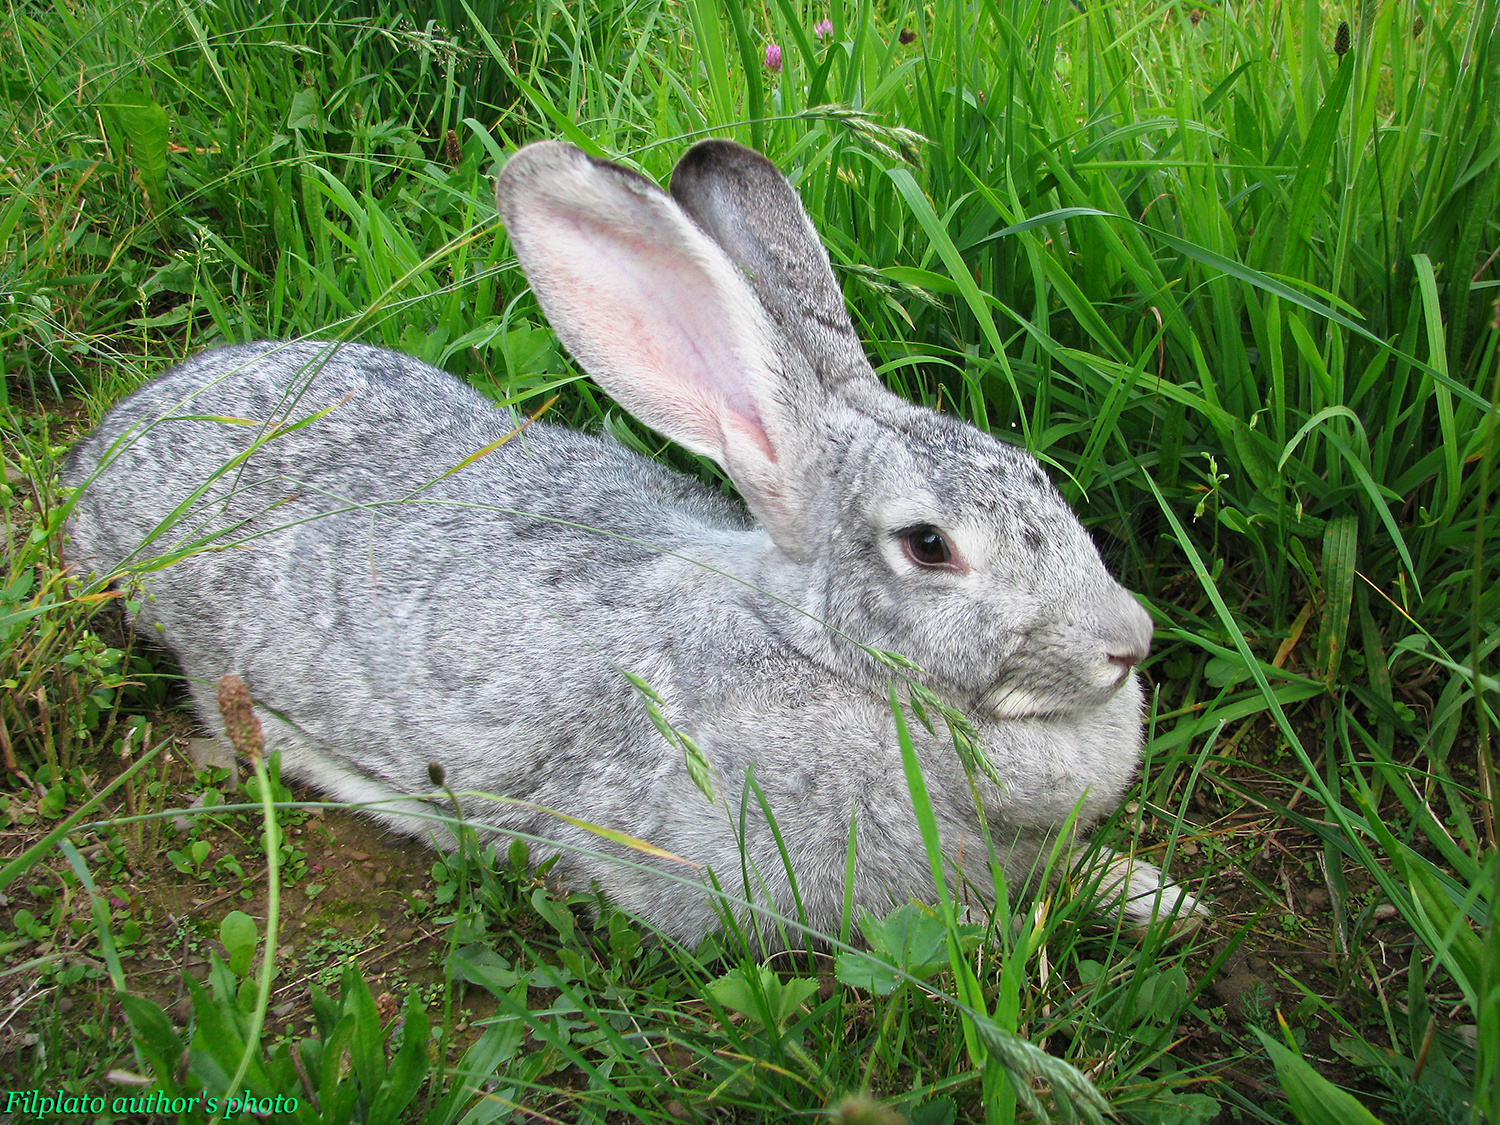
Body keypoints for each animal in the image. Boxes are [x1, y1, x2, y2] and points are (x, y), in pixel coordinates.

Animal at [63, 138, 1204, 949]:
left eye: (1035, 474)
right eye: (928, 545)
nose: (1129, 642)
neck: (825, 653)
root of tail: (104, 447)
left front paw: (1157, 896)